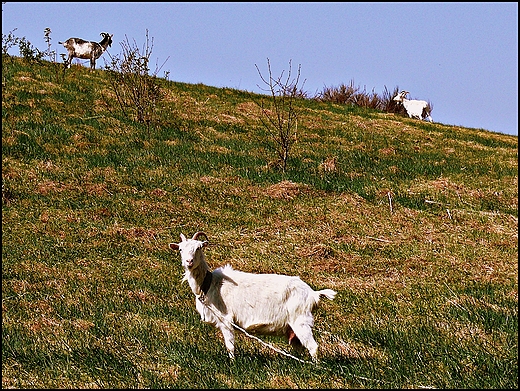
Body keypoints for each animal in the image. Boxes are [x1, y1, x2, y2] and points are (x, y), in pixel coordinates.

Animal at [169, 231, 336, 362]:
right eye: (181, 249)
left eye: (198, 248)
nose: (189, 261)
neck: (209, 284)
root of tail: (313, 294)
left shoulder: (226, 319)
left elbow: (230, 345)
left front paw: (232, 363)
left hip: (300, 319)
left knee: (313, 346)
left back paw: (315, 366)